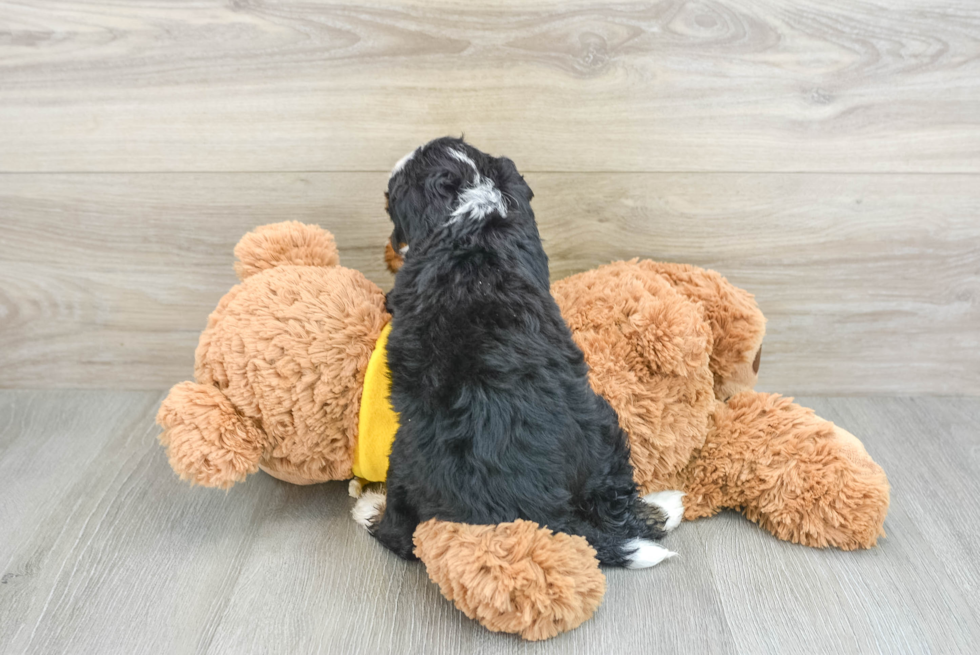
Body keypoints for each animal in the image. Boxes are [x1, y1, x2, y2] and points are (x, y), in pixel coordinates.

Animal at [354, 138, 680, 568]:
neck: (470, 205)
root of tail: (541, 515)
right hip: (602, 425)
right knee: (614, 501)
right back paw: (664, 507)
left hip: (405, 454)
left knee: (401, 531)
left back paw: (369, 507)